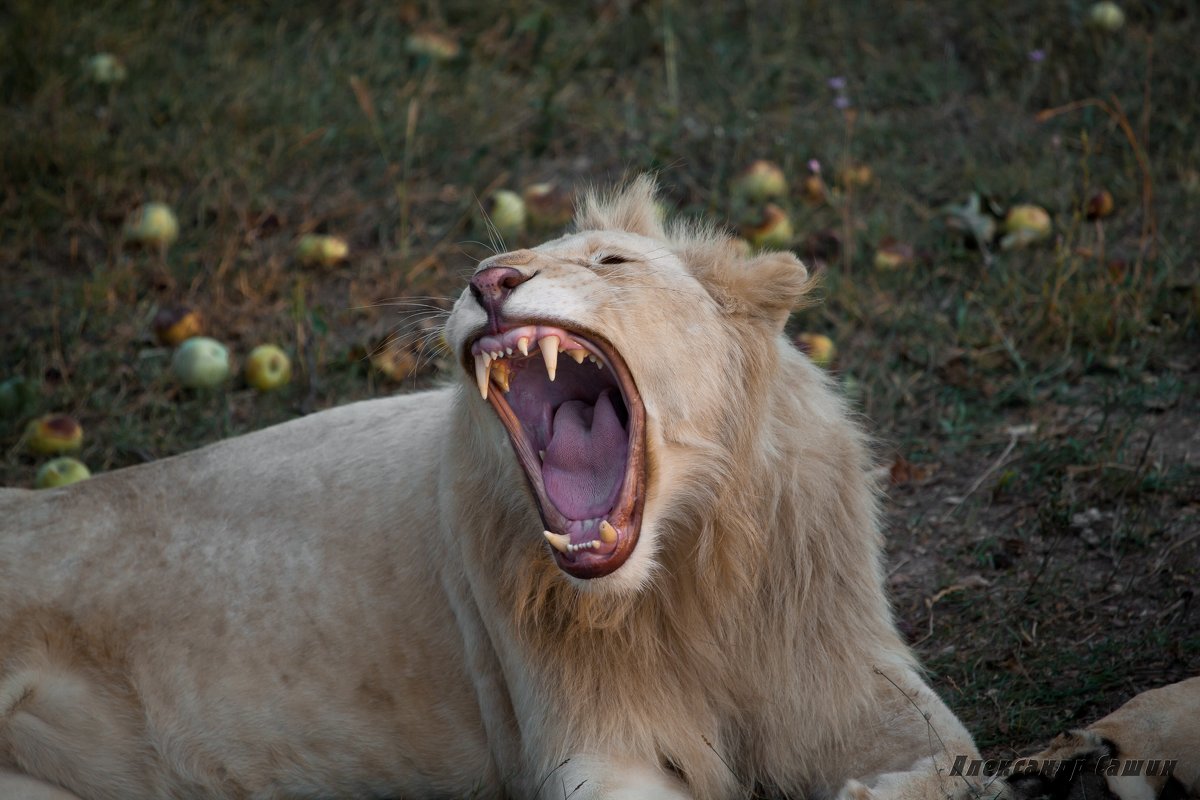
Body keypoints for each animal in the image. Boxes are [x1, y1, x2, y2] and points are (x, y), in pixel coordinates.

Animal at [2, 179, 984, 800]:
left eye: (612, 262)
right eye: (492, 263)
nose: (490, 280)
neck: (687, 574)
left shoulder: (856, 683)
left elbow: (960, 767)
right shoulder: (592, 745)